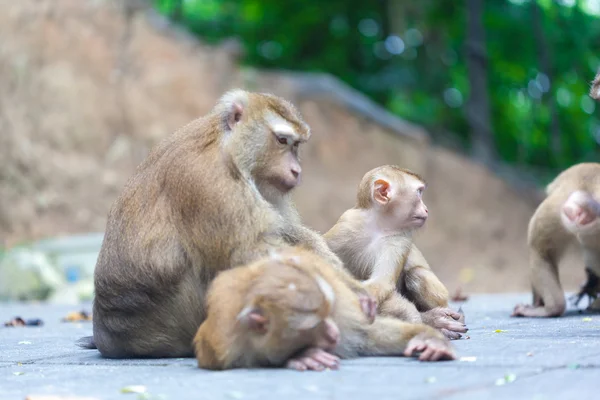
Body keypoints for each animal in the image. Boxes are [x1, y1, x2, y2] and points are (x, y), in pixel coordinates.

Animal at [84, 89, 376, 358]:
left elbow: (284, 234)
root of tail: (107, 337)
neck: (230, 149)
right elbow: (247, 252)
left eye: (296, 146)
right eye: (282, 140)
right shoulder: (208, 180)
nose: (296, 170)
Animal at [193, 247, 454, 372]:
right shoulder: (224, 342)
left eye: (329, 314)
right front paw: (303, 355)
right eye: (314, 325)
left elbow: (367, 335)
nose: (333, 333)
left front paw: (429, 339)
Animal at [324, 164, 468, 340]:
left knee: (417, 274)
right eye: (419, 192)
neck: (378, 225)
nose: (427, 209)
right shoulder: (347, 224)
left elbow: (381, 283)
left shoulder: (400, 240)